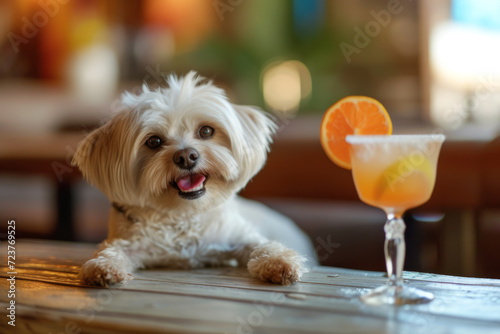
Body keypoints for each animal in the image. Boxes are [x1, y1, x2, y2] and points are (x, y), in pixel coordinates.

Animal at [73, 72, 314, 286]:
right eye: (153, 141)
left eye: (206, 131)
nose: (186, 156)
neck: (184, 214)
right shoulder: (132, 241)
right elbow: (111, 251)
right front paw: (104, 267)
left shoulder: (236, 236)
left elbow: (262, 246)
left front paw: (280, 261)